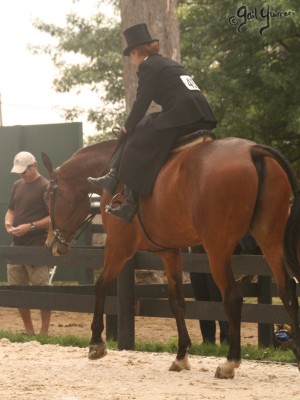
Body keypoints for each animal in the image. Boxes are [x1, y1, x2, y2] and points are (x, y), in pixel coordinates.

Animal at [42, 135, 300, 378]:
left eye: (47, 196)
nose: (51, 244)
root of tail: (252, 150)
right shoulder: (169, 252)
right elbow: (176, 301)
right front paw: (181, 355)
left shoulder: (119, 247)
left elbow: (101, 286)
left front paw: (96, 343)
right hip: (270, 242)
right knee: (287, 290)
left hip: (217, 250)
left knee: (233, 298)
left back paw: (230, 363)